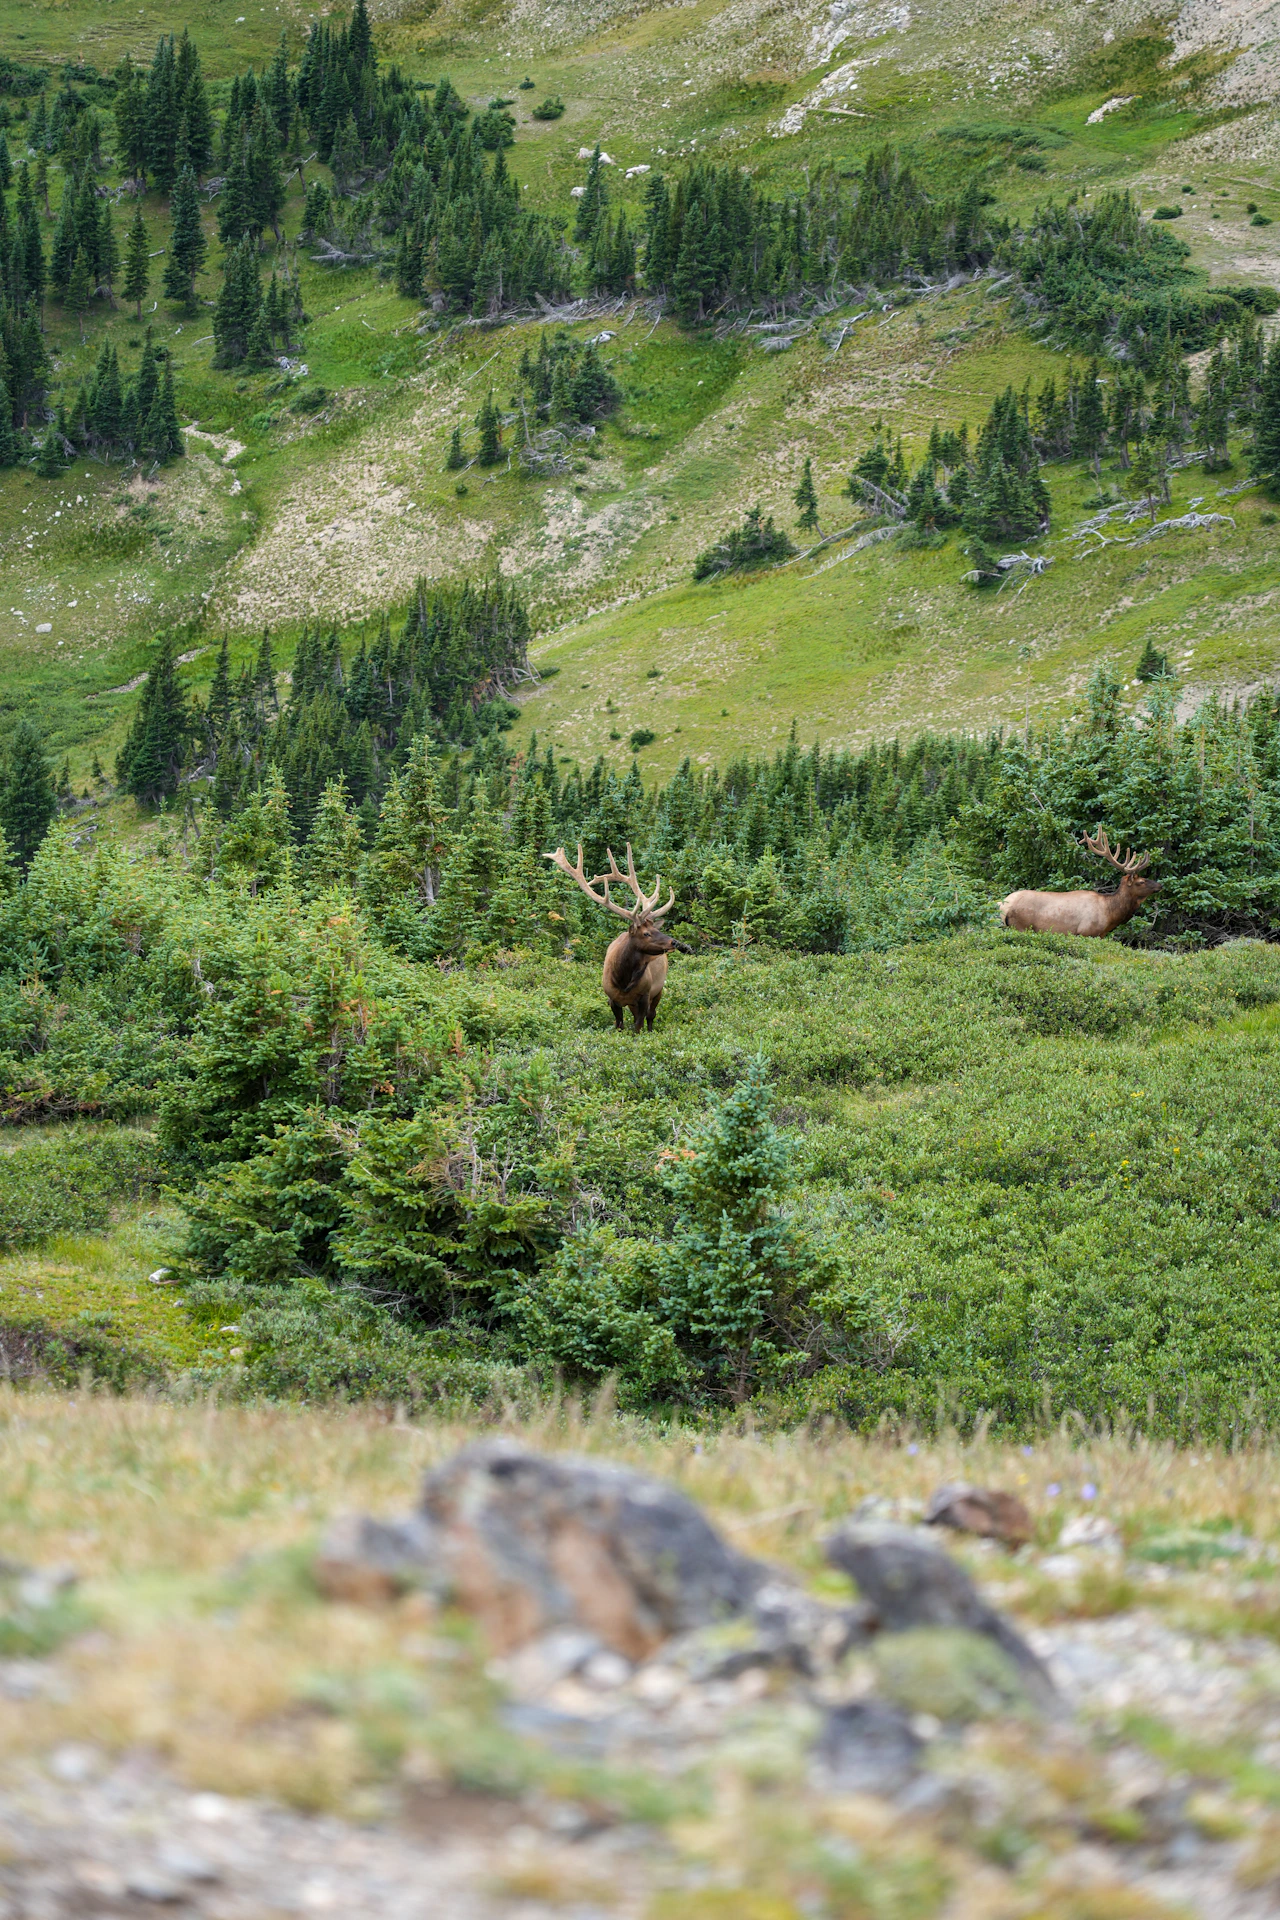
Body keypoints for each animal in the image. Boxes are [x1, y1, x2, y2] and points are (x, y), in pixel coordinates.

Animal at [545, 842, 689, 1032]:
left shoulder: (645, 994)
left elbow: (638, 1026)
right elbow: (619, 1025)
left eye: (655, 928)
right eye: (646, 933)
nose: (673, 942)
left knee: (652, 1016)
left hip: (658, 989)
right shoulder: (612, 999)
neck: (623, 980)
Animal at [999, 828, 1161, 937]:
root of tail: (1003, 907)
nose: (1160, 885)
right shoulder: (1086, 932)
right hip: (1021, 926)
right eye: (1141, 881)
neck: (1110, 914)